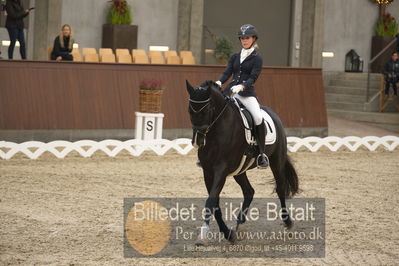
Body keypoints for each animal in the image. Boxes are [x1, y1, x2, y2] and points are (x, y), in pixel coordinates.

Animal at [186, 80, 298, 244]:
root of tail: (273, 114)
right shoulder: (208, 171)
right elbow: (215, 204)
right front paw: (228, 233)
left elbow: (211, 201)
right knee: (249, 191)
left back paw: (288, 222)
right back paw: (239, 224)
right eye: (189, 111)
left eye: (206, 110)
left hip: (276, 160)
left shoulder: (221, 170)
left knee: (280, 188)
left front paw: (203, 235)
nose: (199, 141)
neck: (217, 131)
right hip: (239, 170)